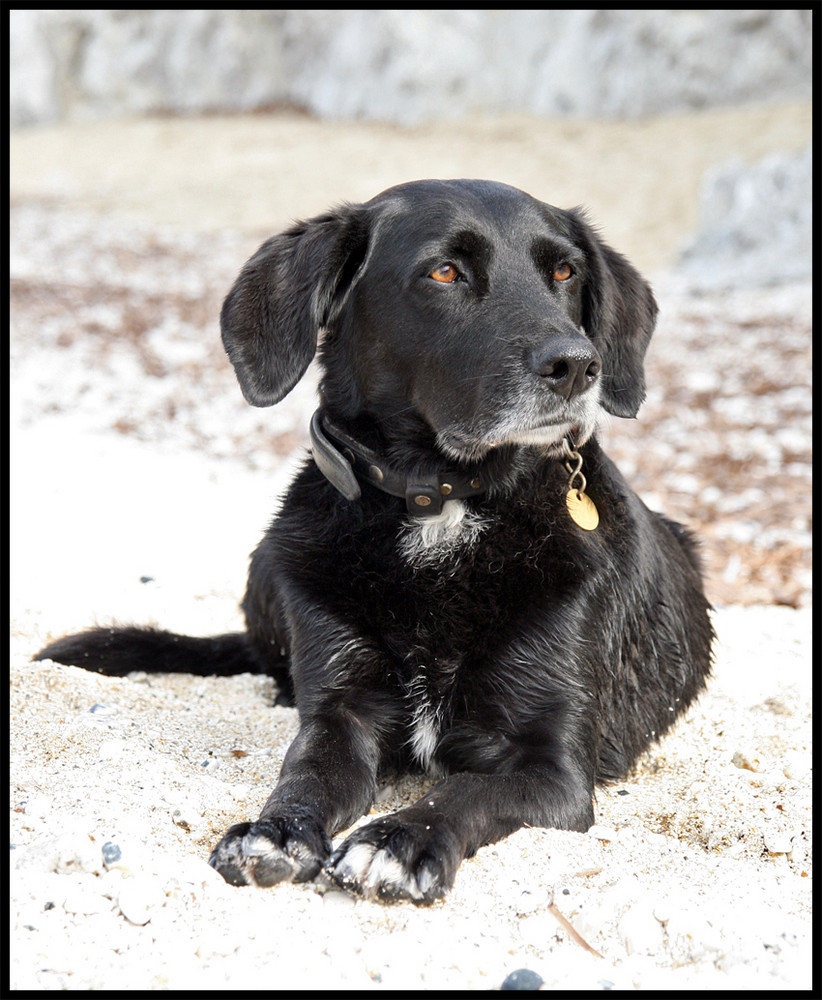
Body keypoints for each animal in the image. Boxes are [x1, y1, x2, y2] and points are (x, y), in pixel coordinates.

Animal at [33, 182, 716, 908]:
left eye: (565, 272)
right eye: (444, 272)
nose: (577, 364)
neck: (441, 504)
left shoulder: (551, 766)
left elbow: (465, 790)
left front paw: (399, 840)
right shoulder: (341, 713)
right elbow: (306, 773)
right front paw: (276, 831)